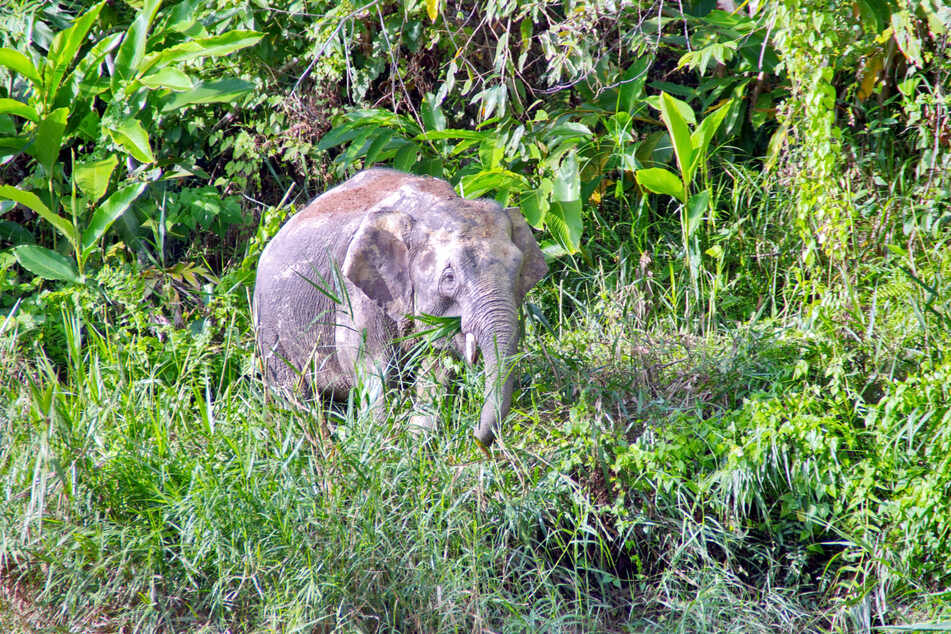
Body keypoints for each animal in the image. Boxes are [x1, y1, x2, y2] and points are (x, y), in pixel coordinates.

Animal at [252, 168, 548, 447]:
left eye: (518, 271)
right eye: (449, 278)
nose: (472, 434)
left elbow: (436, 369)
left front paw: (417, 439)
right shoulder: (357, 295)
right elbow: (371, 366)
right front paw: (382, 440)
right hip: (269, 330)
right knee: (292, 393)